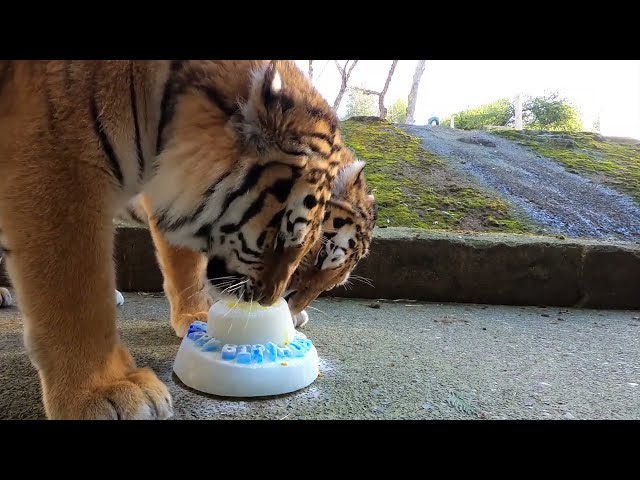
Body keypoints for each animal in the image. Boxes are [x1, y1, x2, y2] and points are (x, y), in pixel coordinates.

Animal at [0, 61, 372, 420]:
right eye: (317, 251)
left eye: (329, 285)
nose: (271, 302)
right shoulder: (59, 167)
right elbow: (76, 294)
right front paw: (106, 389)